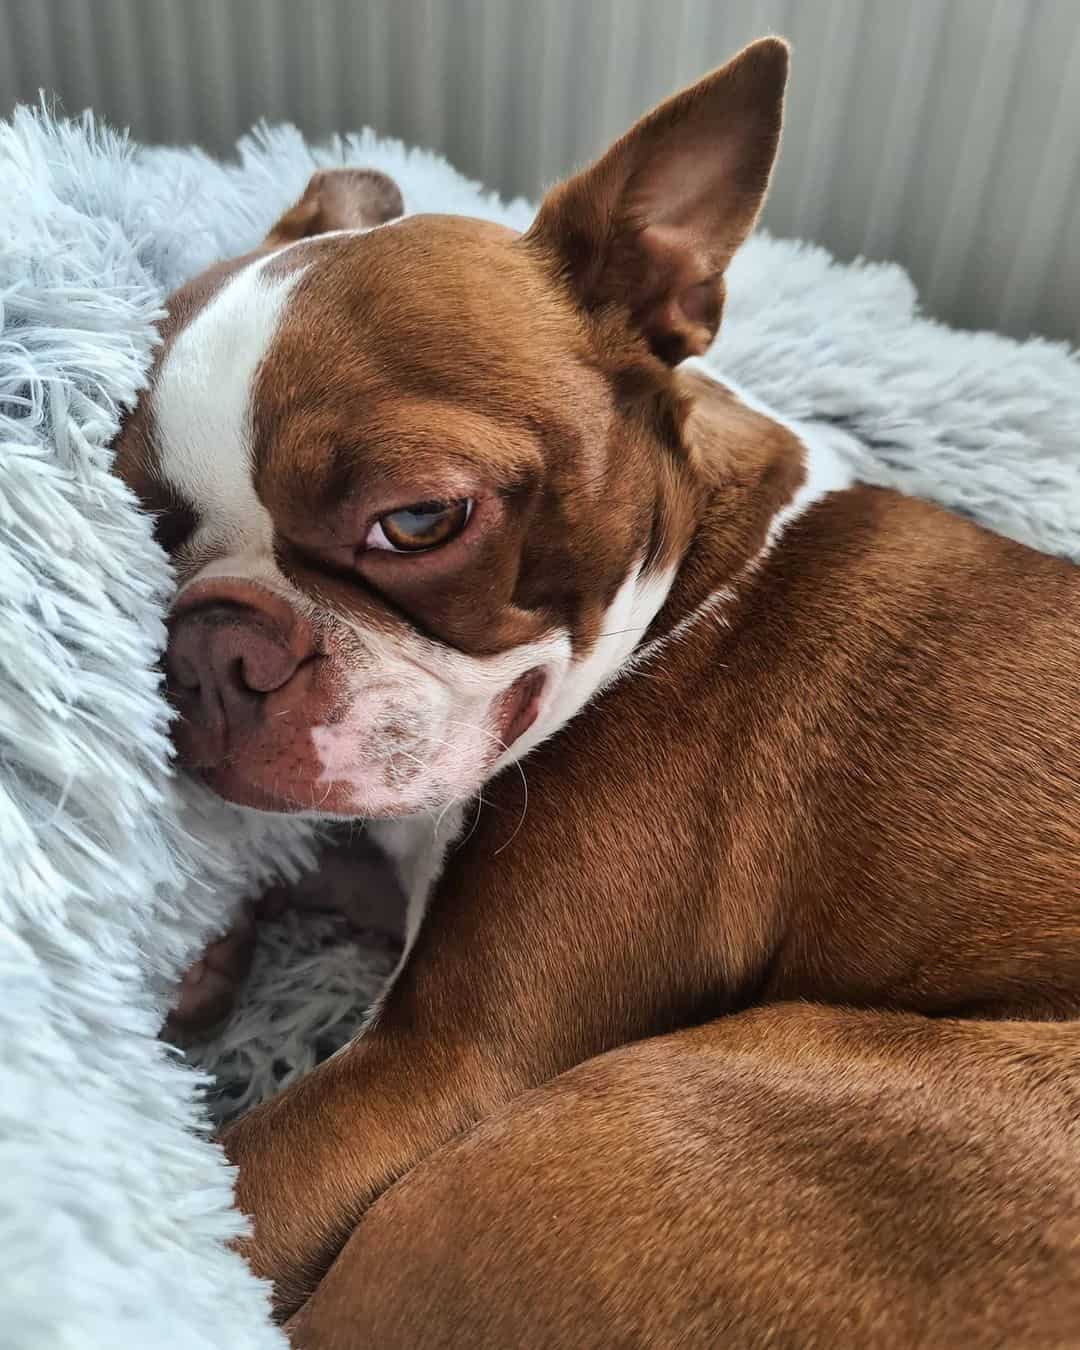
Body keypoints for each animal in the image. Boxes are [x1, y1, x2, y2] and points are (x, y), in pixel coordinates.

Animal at [114, 39, 1074, 1350]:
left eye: (418, 520)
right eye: (145, 519)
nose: (213, 649)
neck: (685, 593)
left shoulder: (431, 1069)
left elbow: (234, 1186)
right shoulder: (398, 832)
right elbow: (306, 849)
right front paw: (198, 955)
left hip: (606, 1120)